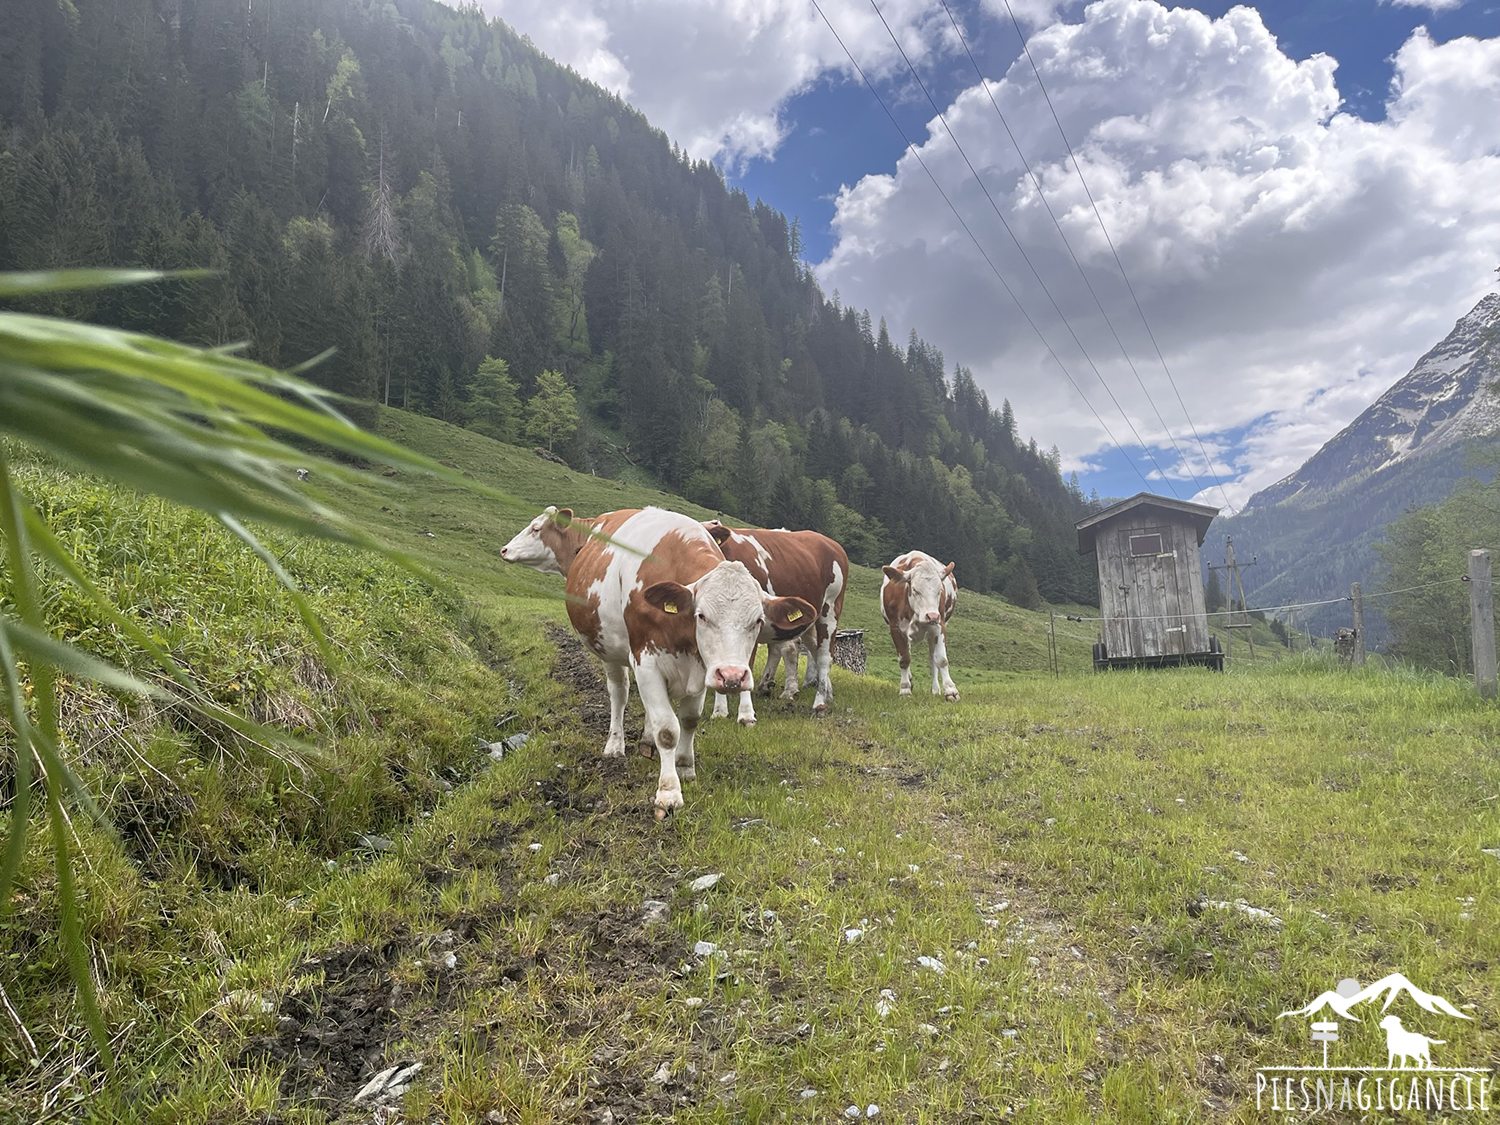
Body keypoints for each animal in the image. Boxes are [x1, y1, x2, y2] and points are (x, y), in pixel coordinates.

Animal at [564, 510, 822, 810]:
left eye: (758, 620)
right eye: (702, 616)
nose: (732, 676)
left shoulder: (701, 668)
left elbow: (689, 720)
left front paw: (685, 767)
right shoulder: (646, 662)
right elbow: (667, 729)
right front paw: (669, 792)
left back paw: (647, 741)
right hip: (609, 650)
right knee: (619, 694)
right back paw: (615, 745)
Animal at [699, 519, 846, 723]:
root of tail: (831, 543)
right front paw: (719, 710)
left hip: (830, 610)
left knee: (824, 654)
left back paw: (818, 702)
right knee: (809, 648)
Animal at [876, 552, 960, 702]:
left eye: (939, 590)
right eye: (915, 589)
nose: (932, 616)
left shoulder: (939, 626)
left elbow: (941, 660)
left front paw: (951, 690)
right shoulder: (895, 628)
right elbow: (904, 659)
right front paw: (905, 689)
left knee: (932, 660)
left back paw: (935, 690)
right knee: (907, 653)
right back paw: (909, 681)